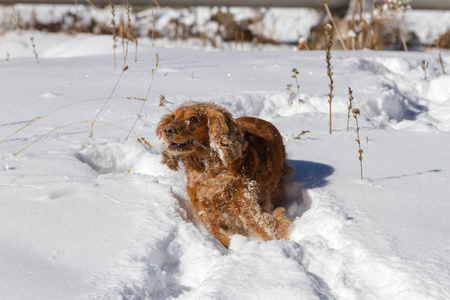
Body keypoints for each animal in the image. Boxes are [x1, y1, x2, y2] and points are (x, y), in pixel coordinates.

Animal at [156, 102, 292, 247]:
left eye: (193, 119)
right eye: (173, 117)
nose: (167, 129)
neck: (208, 172)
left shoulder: (251, 211)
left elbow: (268, 231)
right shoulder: (206, 214)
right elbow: (220, 235)